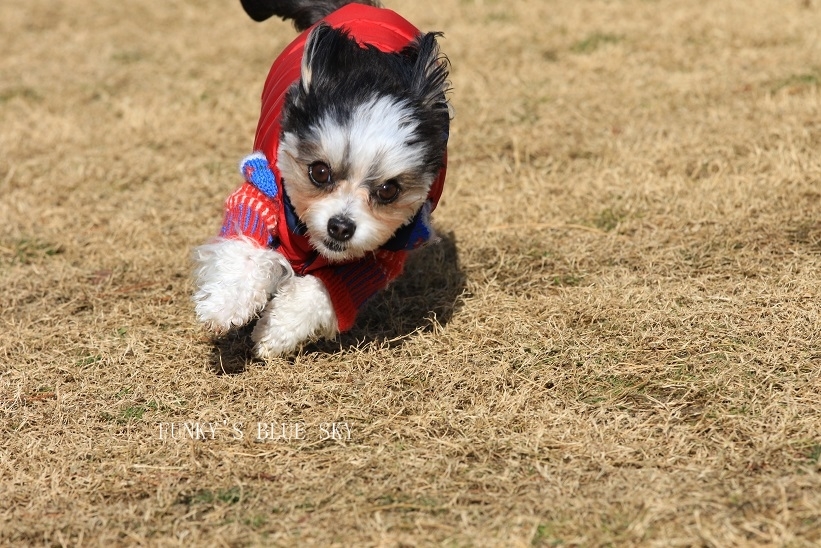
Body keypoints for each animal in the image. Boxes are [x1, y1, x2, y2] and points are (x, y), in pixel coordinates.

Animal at [192, 0, 452, 358]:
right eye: (319, 172)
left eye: (388, 190)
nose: (340, 227)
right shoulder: (264, 187)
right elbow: (245, 247)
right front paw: (225, 305)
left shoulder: (381, 251)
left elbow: (325, 289)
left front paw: (274, 332)